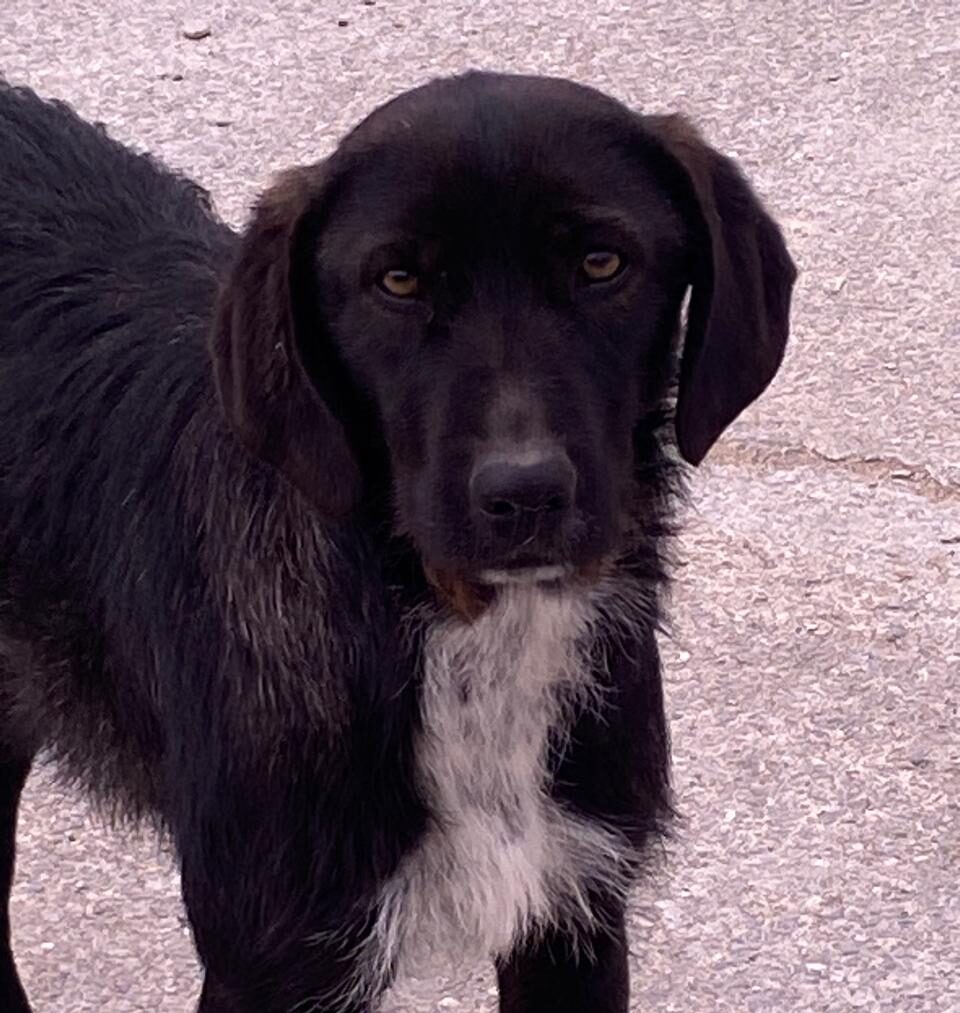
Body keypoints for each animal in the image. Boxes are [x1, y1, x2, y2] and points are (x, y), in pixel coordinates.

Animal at [0, 71, 795, 1012]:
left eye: (603, 263)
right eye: (399, 280)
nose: (523, 492)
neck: (457, 633)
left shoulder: (574, 910)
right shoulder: (274, 958)